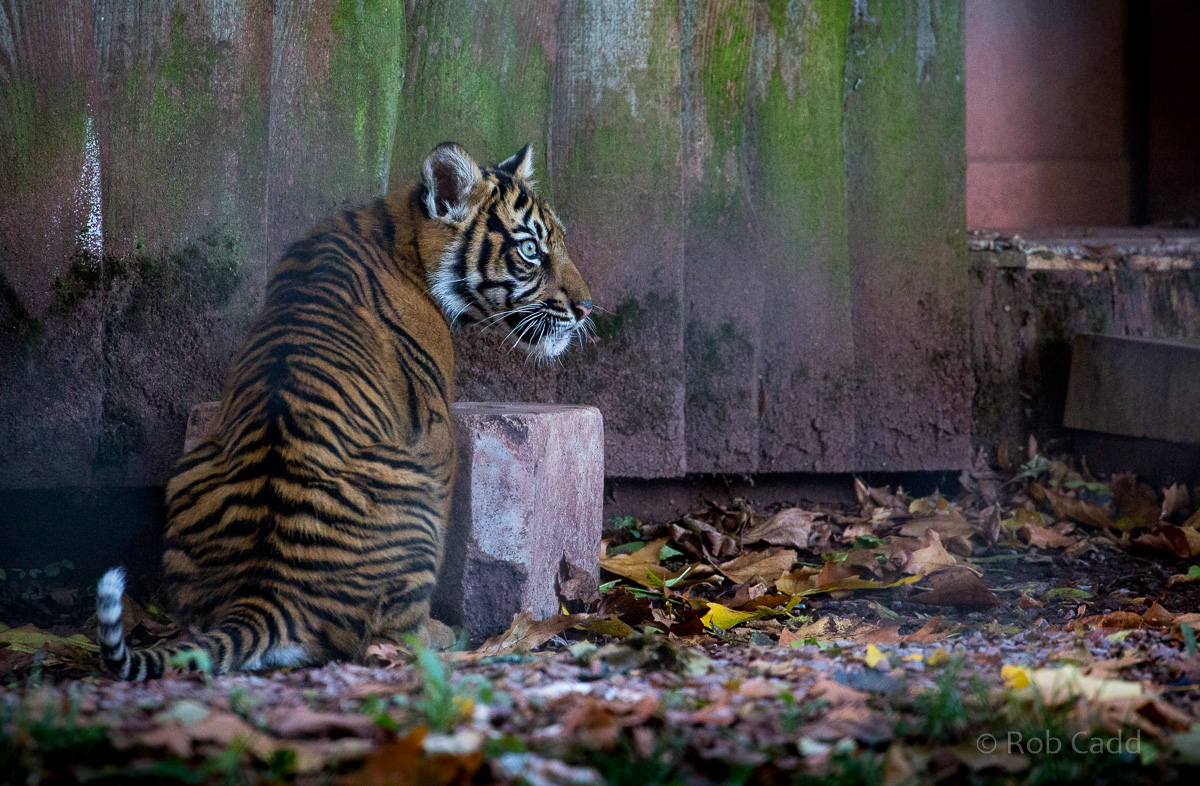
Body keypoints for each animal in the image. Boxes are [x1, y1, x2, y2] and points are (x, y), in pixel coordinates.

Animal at [95, 142, 593, 680]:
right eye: (531, 250)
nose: (586, 308)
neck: (400, 230)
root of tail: (264, 592)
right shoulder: (435, 434)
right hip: (409, 488)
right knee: (388, 634)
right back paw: (439, 635)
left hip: (192, 468)